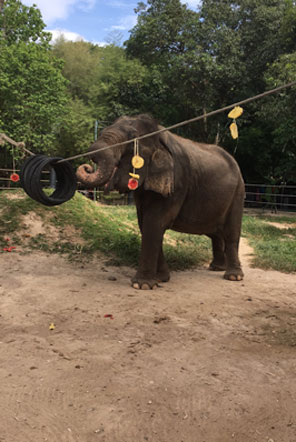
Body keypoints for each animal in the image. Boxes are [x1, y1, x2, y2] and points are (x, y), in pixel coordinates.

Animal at [77, 113, 245, 290]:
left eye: (132, 139)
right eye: (102, 131)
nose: (87, 167)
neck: (157, 135)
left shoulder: (177, 181)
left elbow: (155, 222)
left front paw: (142, 285)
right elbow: (145, 223)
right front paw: (161, 278)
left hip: (238, 192)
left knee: (231, 232)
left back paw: (233, 276)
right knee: (215, 233)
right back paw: (216, 267)